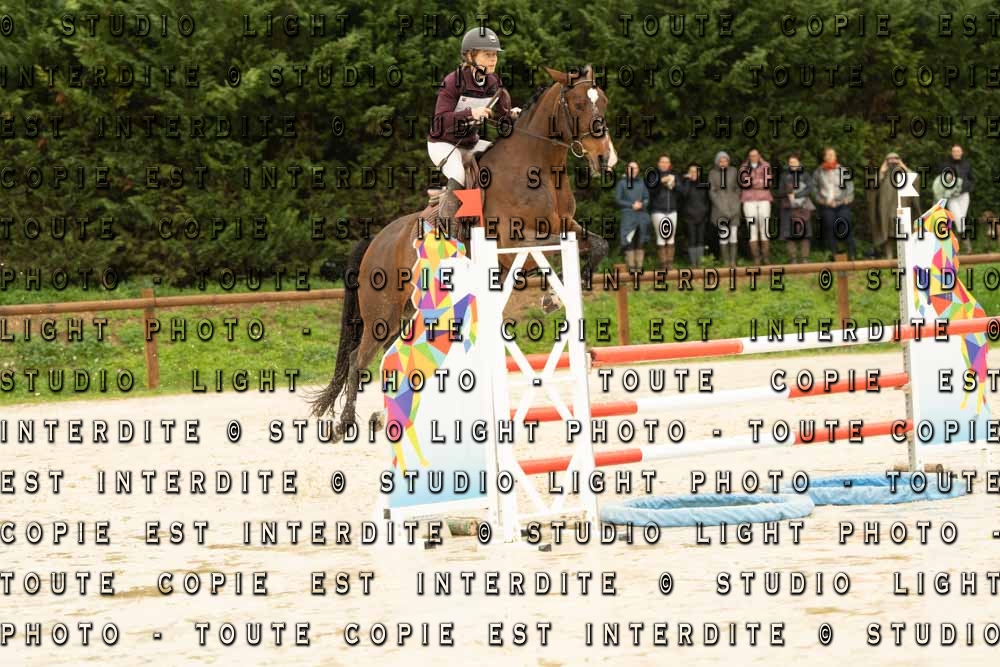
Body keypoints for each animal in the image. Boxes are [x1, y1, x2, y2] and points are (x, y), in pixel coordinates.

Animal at [309, 64, 618, 441]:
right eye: (577, 104)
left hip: (410, 313)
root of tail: (376, 241)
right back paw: (345, 424)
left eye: (603, 101)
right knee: (358, 357)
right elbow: (536, 258)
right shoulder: (507, 244)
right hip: (382, 313)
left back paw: (385, 417)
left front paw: (565, 291)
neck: (538, 168)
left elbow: (598, 246)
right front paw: (551, 298)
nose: (605, 158)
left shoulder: (566, 225)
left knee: (391, 356)